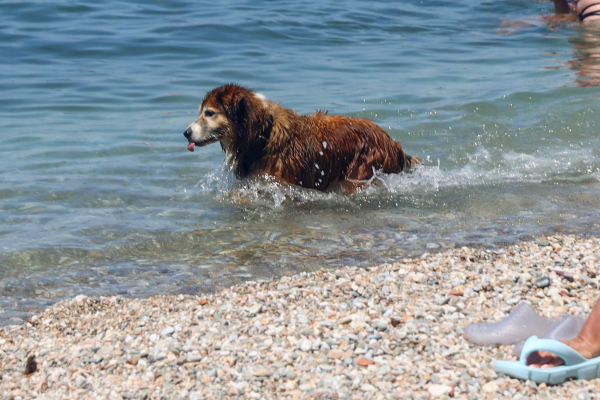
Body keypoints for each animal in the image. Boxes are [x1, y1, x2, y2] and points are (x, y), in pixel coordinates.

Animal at [184, 83, 422, 191]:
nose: (185, 133)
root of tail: (393, 143)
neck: (262, 134)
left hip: (360, 171)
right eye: (201, 111)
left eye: (209, 113)